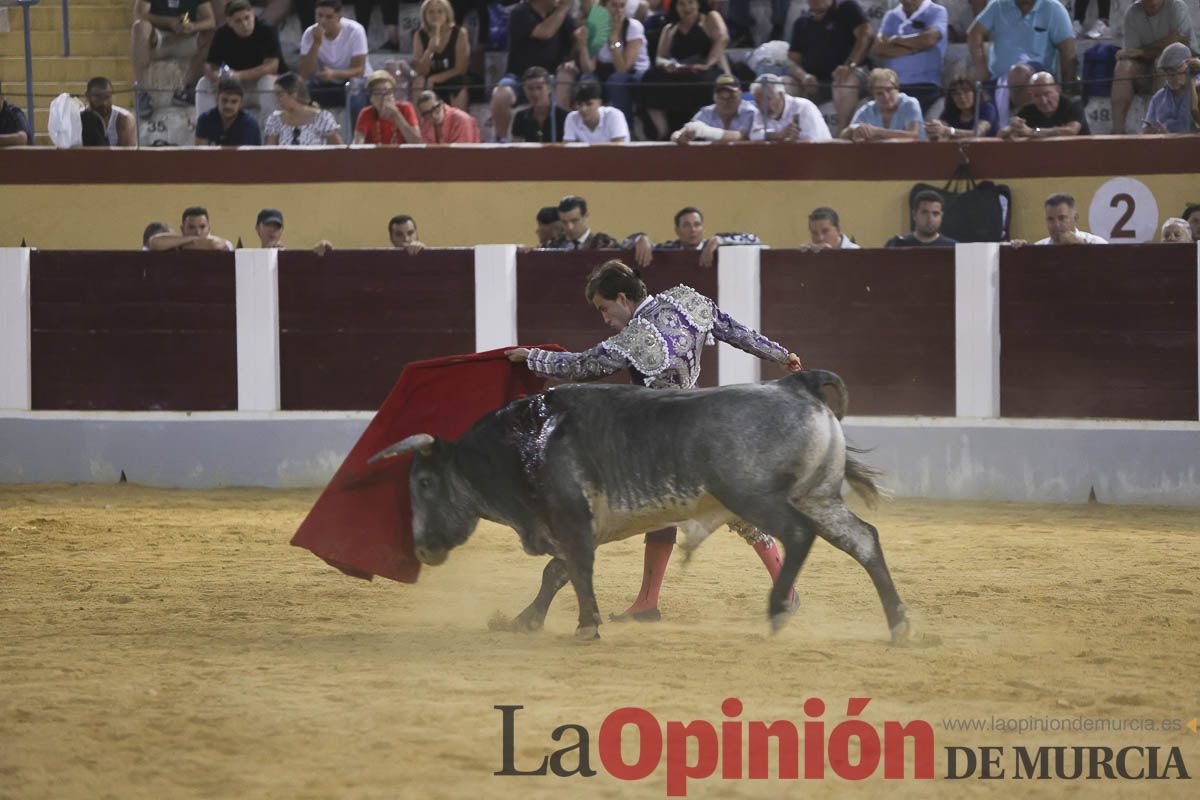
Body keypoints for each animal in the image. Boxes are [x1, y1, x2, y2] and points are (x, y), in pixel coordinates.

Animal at [369, 371, 912, 642]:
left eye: (423, 482)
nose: (422, 548)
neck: (520, 444)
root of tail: (793, 384)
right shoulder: (571, 525)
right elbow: (556, 572)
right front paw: (526, 620)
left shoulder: (571, 519)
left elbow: (575, 570)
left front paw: (586, 626)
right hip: (817, 496)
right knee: (863, 540)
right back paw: (899, 625)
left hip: (756, 497)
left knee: (798, 535)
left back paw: (779, 610)